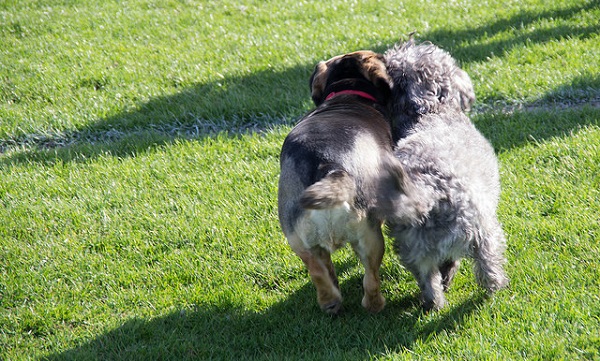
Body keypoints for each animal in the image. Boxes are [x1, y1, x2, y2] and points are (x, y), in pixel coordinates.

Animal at [278, 50, 396, 312]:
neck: (347, 91)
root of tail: (327, 163)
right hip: (370, 236)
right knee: (370, 278)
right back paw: (375, 305)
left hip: (299, 239)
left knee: (318, 271)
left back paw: (330, 302)